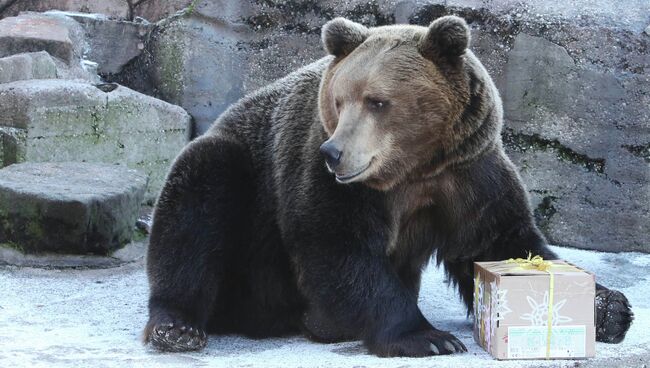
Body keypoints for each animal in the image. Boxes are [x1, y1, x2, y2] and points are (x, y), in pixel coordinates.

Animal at [143, 16, 632, 356]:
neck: (414, 168)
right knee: (197, 199)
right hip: (247, 205)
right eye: (339, 100)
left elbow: (499, 241)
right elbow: (338, 248)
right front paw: (428, 337)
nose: (334, 153)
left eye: (377, 101)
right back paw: (177, 326)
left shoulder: (470, 175)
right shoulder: (331, 179)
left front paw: (609, 310)